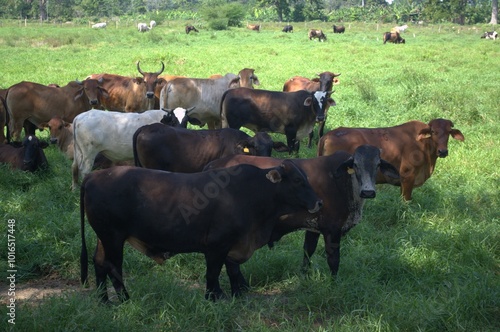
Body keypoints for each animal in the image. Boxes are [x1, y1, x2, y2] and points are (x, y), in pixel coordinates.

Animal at [78, 162, 320, 302]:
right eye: (297, 180)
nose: (319, 201)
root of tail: (93, 176)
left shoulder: (233, 246)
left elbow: (232, 271)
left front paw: (235, 295)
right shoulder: (216, 246)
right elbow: (213, 273)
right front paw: (214, 297)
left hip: (104, 238)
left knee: (99, 263)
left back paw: (104, 300)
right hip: (113, 238)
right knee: (113, 267)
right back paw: (125, 299)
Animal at [205, 144, 400, 276]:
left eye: (377, 165)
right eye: (356, 165)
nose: (368, 191)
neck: (345, 182)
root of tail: (212, 165)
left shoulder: (313, 226)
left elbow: (308, 250)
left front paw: (304, 275)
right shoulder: (332, 229)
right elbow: (334, 260)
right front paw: (334, 283)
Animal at [316, 118, 464, 201]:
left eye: (449, 132)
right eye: (433, 132)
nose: (443, 151)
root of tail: (328, 134)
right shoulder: (408, 176)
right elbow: (406, 201)